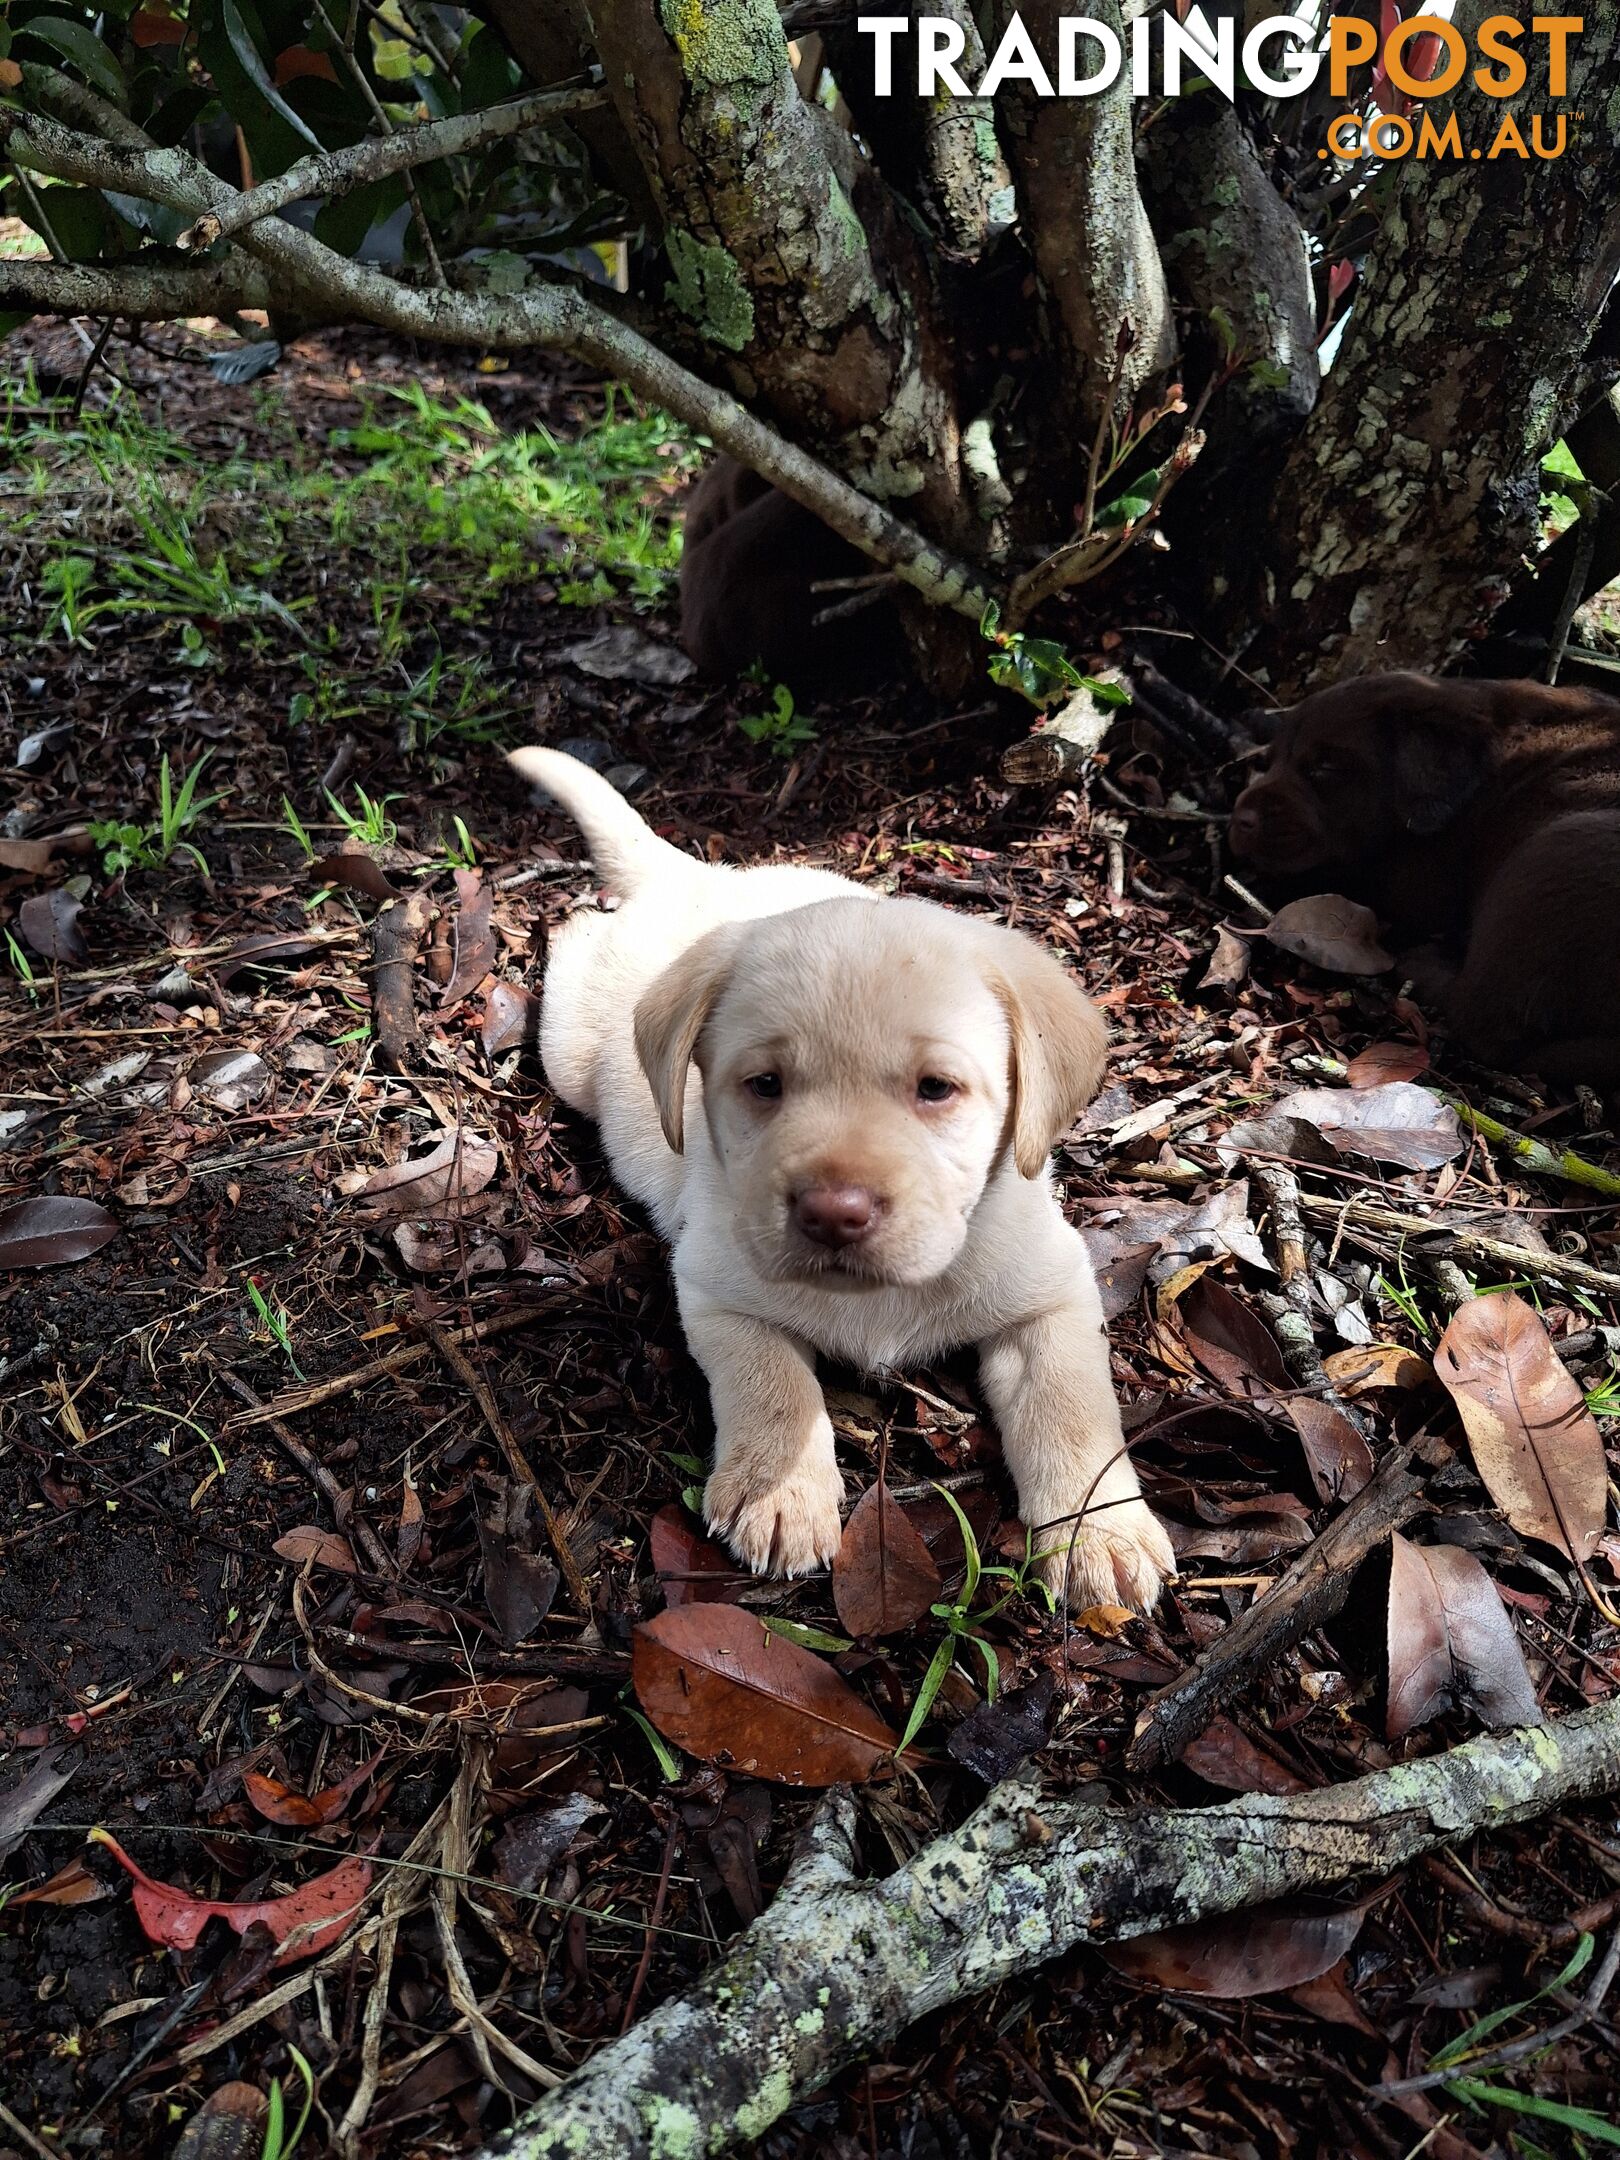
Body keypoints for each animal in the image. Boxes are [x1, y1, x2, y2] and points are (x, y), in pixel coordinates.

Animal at [514, 751, 1175, 1615]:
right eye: (764, 1085)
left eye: (936, 1089)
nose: (834, 1212)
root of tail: (690, 873)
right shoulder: (714, 1285)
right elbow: (772, 1381)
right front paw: (779, 1490)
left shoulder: (1055, 1292)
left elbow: (1073, 1406)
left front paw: (1100, 1530)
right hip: (570, 1049)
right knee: (577, 934)